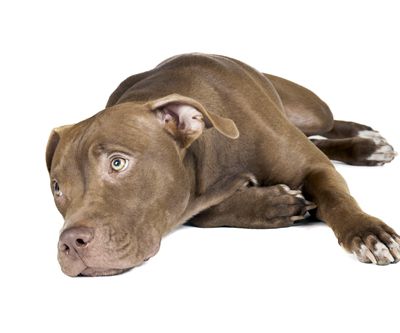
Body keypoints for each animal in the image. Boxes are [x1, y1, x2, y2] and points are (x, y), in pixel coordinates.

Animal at [47, 53, 400, 274]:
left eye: (118, 163)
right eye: (57, 188)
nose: (70, 243)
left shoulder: (316, 168)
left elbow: (337, 198)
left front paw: (368, 232)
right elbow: (208, 212)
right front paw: (274, 204)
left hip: (313, 110)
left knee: (325, 127)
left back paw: (366, 141)